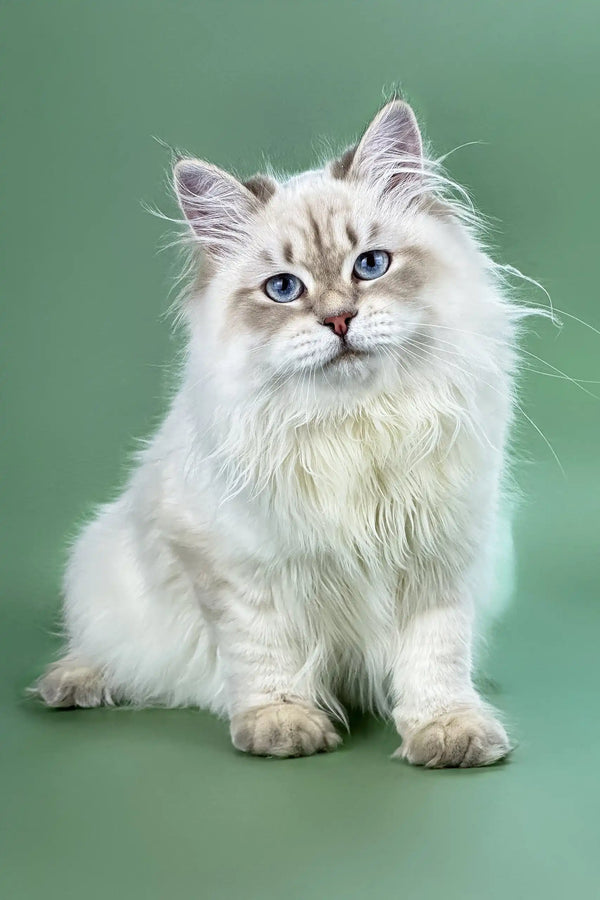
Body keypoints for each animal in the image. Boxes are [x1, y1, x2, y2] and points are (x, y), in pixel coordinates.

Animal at [36, 98, 516, 768]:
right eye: (284, 288)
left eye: (371, 265)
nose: (340, 319)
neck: (353, 427)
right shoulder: (237, 569)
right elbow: (267, 657)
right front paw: (283, 727)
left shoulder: (438, 558)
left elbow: (436, 661)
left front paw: (447, 733)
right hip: (103, 570)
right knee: (109, 652)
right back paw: (70, 685)